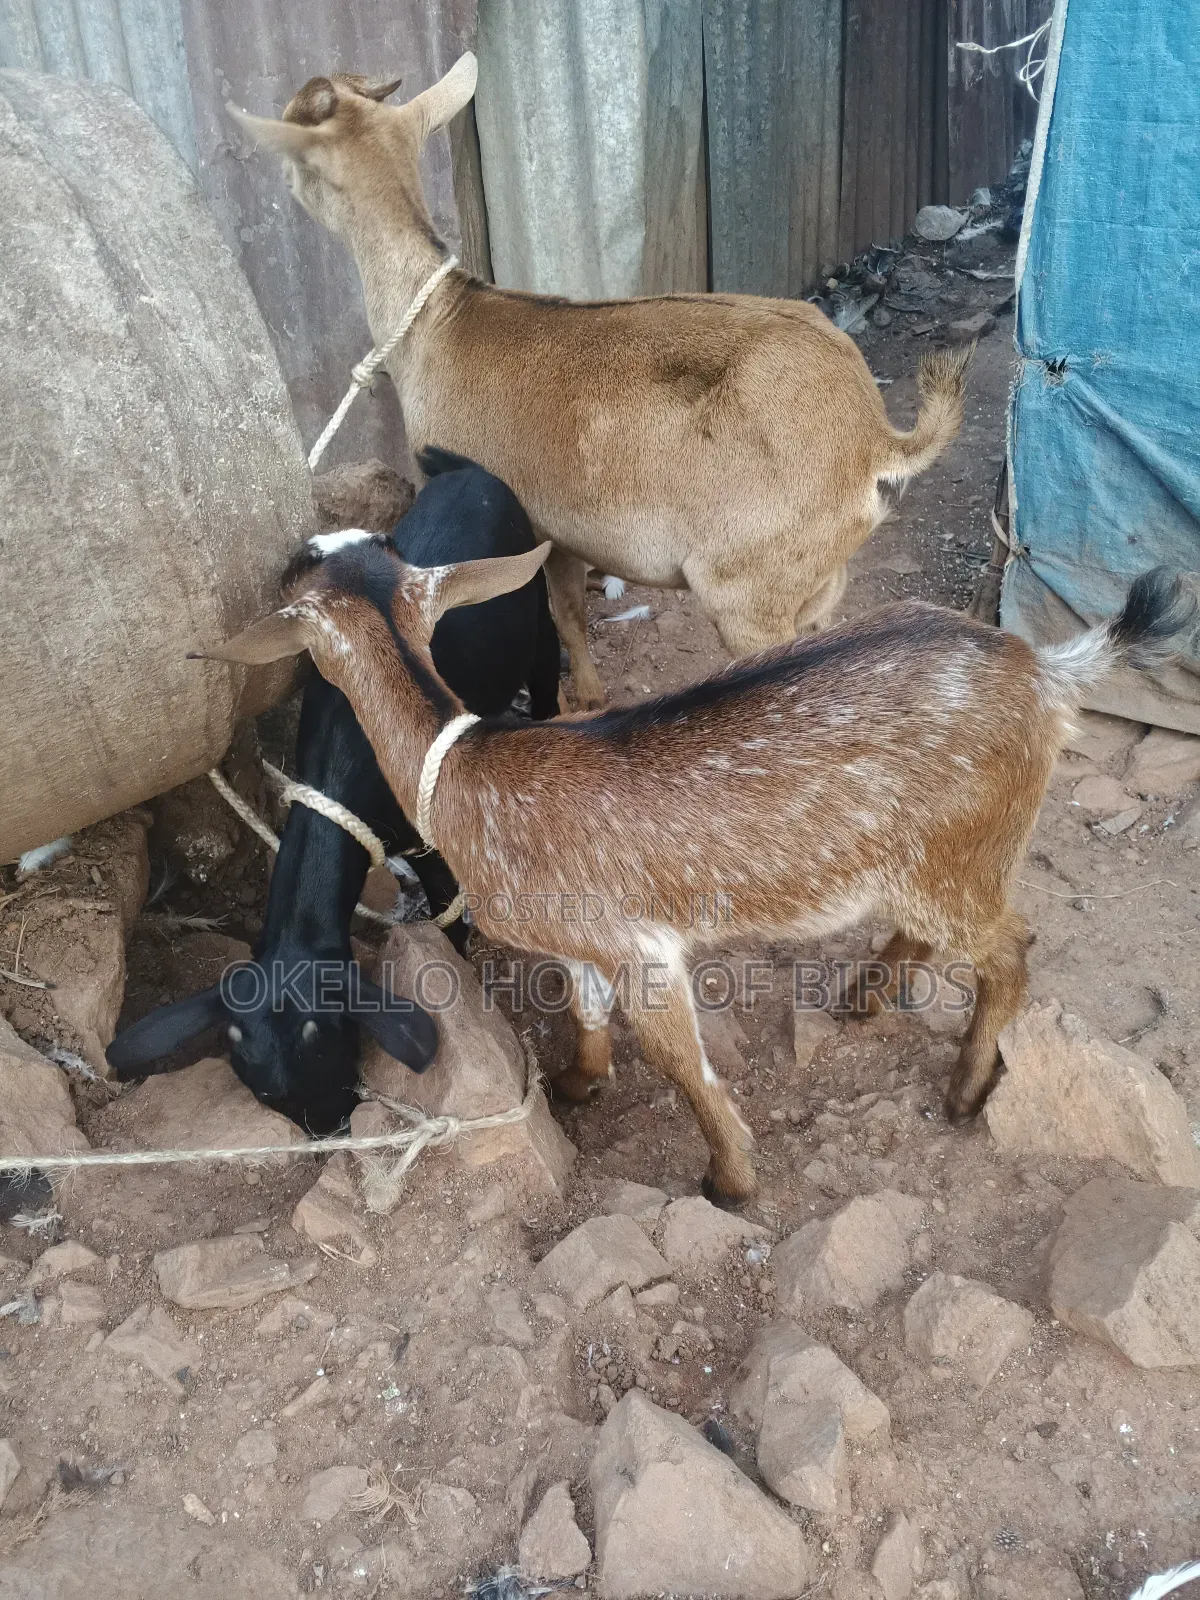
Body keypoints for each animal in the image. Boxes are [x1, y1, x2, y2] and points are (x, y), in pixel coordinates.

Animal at [108, 449, 560, 1132]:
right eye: (267, 1095)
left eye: (342, 1050)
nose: (333, 1127)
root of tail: (469, 472)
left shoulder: (430, 841)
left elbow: (448, 924)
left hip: (540, 618)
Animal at [194, 541, 1194, 1198]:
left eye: (300, 578)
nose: (289, 550)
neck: (469, 767)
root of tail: (1046, 674)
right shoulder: (583, 935)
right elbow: (586, 1010)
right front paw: (579, 1084)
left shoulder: (642, 945)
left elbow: (685, 1066)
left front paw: (732, 1180)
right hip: (930, 856)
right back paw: (861, 1000)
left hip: (964, 851)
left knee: (1012, 946)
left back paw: (963, 1088)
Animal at [227, 59, 971, 710]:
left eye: (303, 160)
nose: (284, 185)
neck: (440, 323)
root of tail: (875, 439)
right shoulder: (562, 531)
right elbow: (568, 610)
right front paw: (588, 692)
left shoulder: (524, 523)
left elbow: (550, 612)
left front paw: (577, 700)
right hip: (821, 580)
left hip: (749, 588)